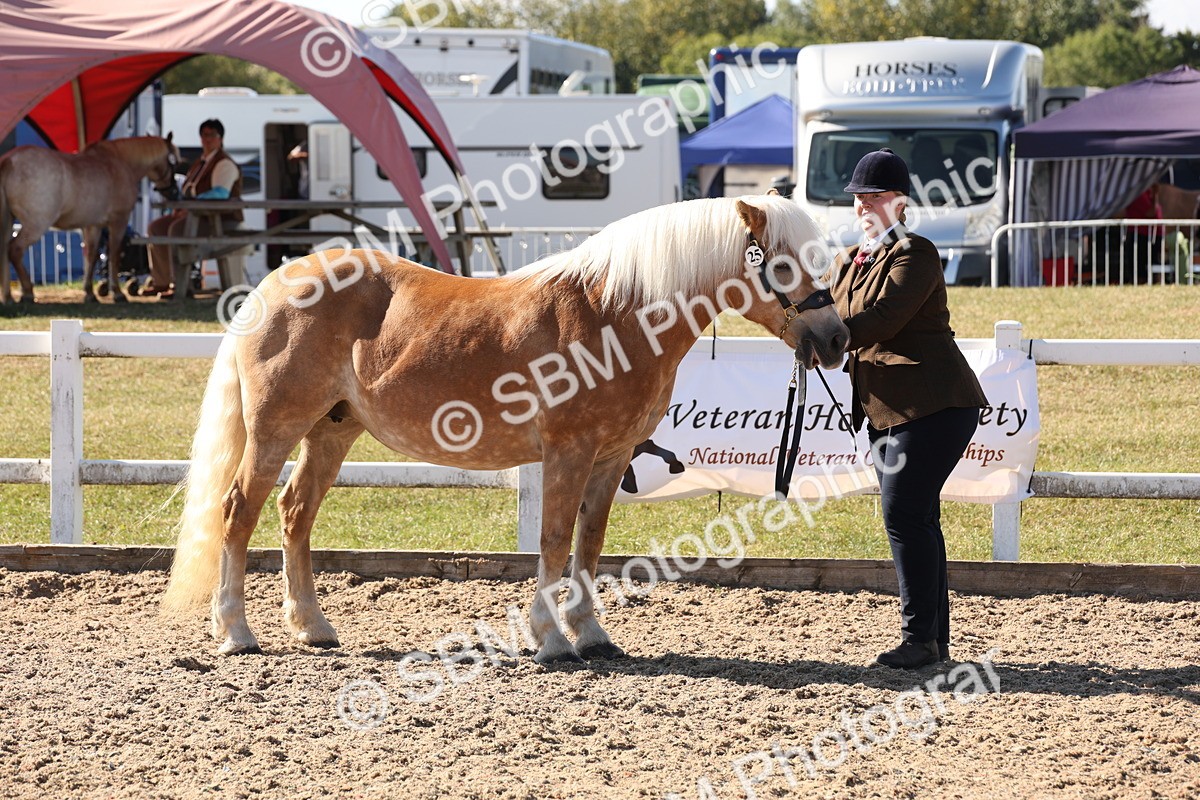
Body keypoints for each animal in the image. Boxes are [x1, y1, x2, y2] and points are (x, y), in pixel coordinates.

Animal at [0, 135, 180, 304]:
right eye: (173, 162)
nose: (173, 192)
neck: (120, 162)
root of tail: (10, 160)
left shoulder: (94, 225)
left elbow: (92, 256)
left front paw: (90, 293)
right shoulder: (119, 221)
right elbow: (114, 255)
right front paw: (117, 292)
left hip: (9, 221)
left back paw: (8, 297)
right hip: (36, 225)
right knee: (14, 250)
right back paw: (28, 292)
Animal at [161, 193, 850, 663]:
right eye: (781, 265)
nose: (837, 339)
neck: (613, 314)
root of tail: (277, 281)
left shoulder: (611, 457)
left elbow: (589, 543)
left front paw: (591, 635)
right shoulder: (568, 452)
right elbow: (552, 540)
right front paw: (551, 640)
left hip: (331, 432)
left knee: (295, 514)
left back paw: (312, 627)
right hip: (275, 429)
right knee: (238, 513)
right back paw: (236, 633)